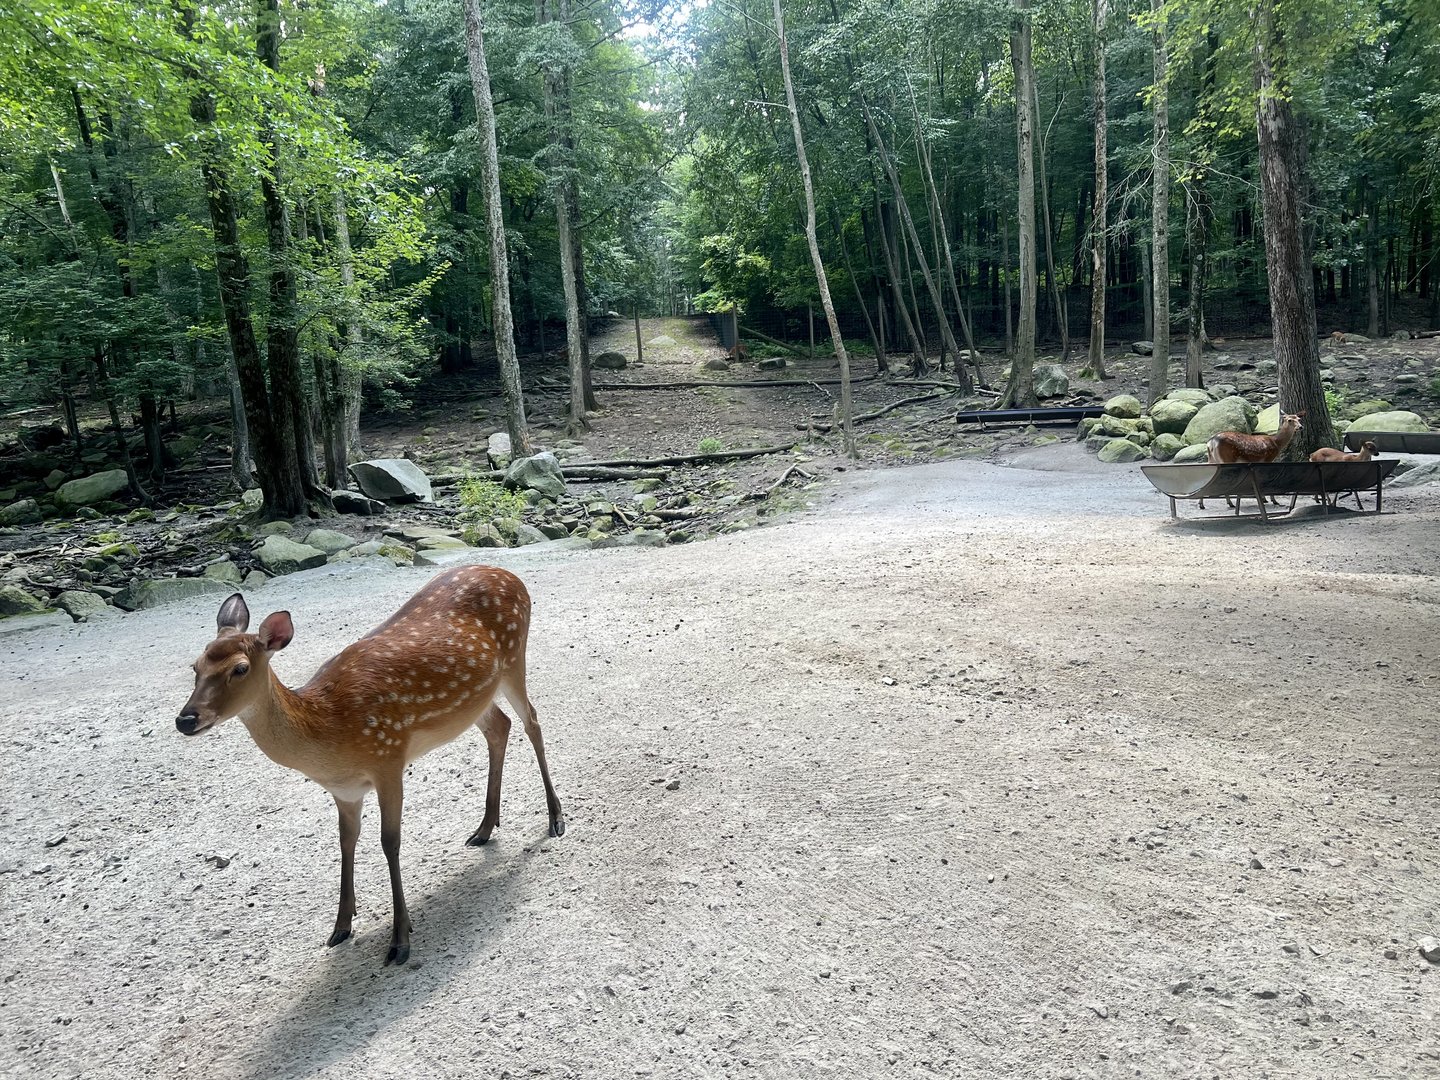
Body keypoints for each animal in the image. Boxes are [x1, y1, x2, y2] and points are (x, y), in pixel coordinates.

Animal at [175, 564, 564, 966]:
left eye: (240, 669)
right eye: (195, 666)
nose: (186, 719)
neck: (329, 732)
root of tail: (510, 574)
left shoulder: (388, 758)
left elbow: (389, 841)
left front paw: (400, 940)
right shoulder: (345, 790)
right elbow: (346, 841)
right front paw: (341, 926)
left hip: (514, 658)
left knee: (532, 722)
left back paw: (555, 818)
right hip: (477, 700)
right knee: (500, 727)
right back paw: (484, 828)